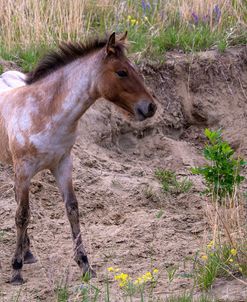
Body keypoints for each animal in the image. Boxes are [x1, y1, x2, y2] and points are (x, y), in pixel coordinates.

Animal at [0, 31, 156, 284]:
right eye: (122, 72)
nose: (151, 107)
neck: (46, 112)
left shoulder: (63, 164)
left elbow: (72, 209)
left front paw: (85, 264)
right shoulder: (23, 170)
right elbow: (22, 215)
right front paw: (16, 270)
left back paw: (28, 251)